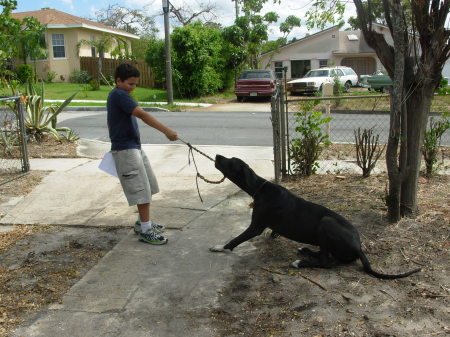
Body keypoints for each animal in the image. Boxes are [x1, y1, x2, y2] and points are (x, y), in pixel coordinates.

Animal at [211, 154, 422, 278]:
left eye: (230, 161)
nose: (217, 155)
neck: (260, 187)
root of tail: (358, 247)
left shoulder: (255, 226)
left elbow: (236, 239)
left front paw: (220, 247)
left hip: (326, 223)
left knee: (326, 263)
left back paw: (301, 262)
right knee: (324, 255)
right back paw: (306, 251)